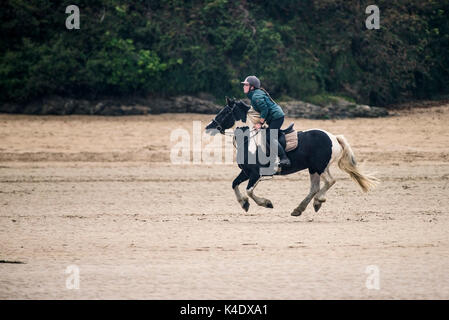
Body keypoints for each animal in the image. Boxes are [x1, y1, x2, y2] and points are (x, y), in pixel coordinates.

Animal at [204, 97, 378, 216]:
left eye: (225, 112)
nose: (208, 127)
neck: (249, 139)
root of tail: (333, 137)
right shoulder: (246, 172)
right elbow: (234, 184)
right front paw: (243, 204)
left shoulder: (256, 174)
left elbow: (249, 191)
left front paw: (266, 203)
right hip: (314, 168)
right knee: (315, 187)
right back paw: (299, 209)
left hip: (319, 167)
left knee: (329, 181)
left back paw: (317, 202)